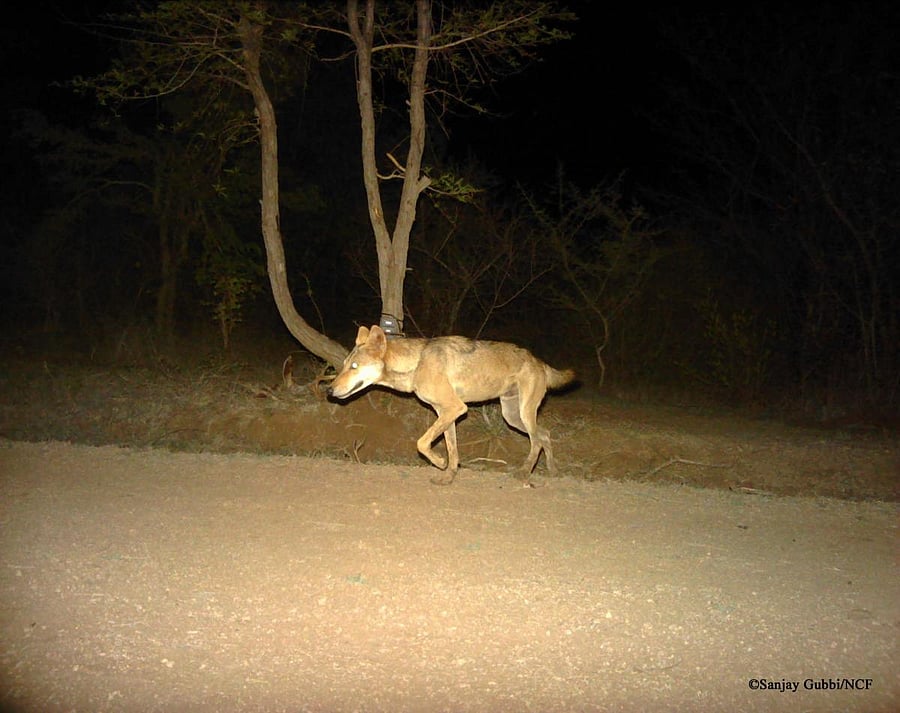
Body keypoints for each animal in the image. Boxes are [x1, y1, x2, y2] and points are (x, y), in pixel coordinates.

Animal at [327, 325, 575, 485]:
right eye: (344, 365)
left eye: (354, 366)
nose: (328, 390)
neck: (417, 363)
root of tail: (540, 362)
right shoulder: (445, 413)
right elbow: (452, 449)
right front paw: (448, 475)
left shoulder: (454, 409)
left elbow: (422, 443)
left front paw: (439, 462)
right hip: (512, 416)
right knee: (545, 434)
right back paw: (552, 470)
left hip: (522, 414)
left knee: (537, 441)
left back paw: (524, 473)